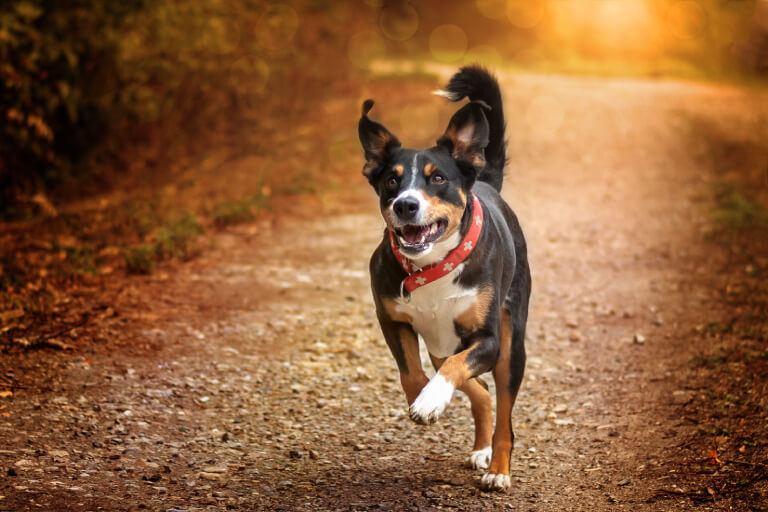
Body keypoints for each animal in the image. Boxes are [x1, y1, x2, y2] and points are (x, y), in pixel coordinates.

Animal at [358, 66, 528, 490]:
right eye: (391, 181)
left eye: (437, 179)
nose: (406, 204)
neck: (432, 266)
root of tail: (483, 179)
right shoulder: (392, 320)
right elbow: (411, 373)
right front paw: (425, 399)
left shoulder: (487, 340)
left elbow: (455, 370)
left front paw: (431, 401)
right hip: (441, 342)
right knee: (480, 392)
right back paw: (481, 449)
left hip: (510, 346)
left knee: (504, 414)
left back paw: (498, 469)